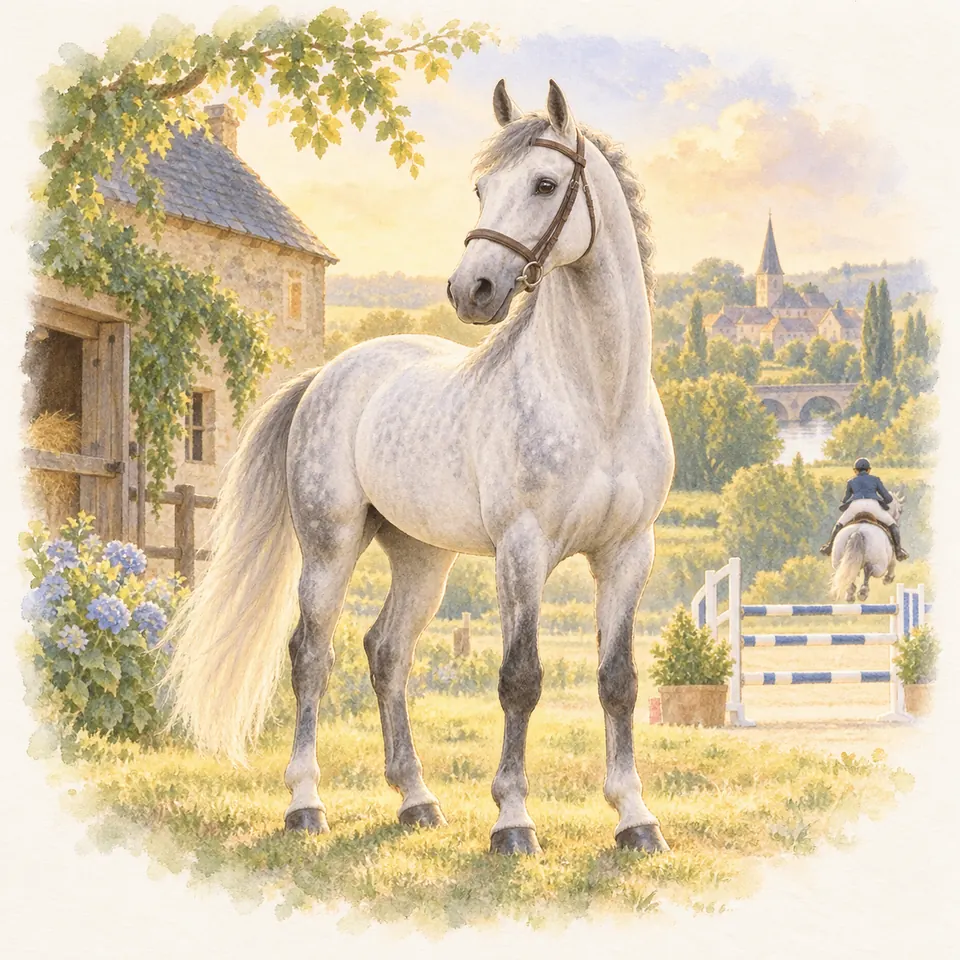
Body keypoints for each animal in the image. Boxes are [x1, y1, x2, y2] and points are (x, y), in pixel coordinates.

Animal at [164, 79, 674, 857]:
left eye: (545, 183)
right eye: (481, 188)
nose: (473, 290)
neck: (599, 397)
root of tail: (328, 374)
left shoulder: (626, 552)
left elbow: (618, 680)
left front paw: (635, 818)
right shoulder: (522, 551)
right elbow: (520, 678)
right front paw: (512, 821)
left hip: (421, 556)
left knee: (386, 651)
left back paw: (416, 799)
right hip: (331, 546)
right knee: (312, 654)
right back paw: (306, 804)